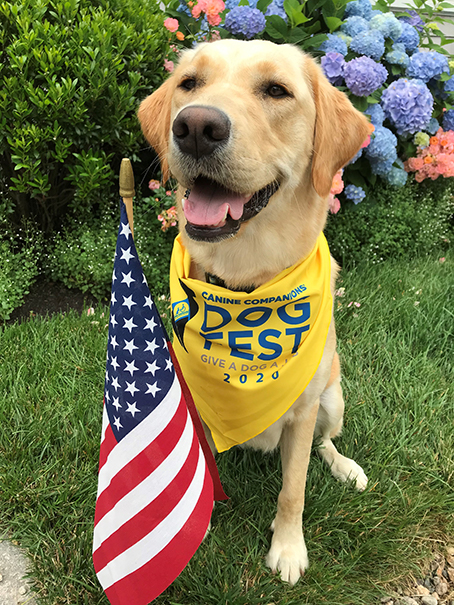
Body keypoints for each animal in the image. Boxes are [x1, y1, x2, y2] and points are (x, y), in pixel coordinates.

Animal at [140, 39, 370, 584]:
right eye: (189, 84)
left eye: (276, 91)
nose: (195, 126)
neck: (246, 284)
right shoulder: (191, 406)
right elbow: (198, 469)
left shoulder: (304, 412)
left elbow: (294, 490)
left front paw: (287, 548)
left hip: (333, 398)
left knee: (326, 445)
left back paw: (346, 467)